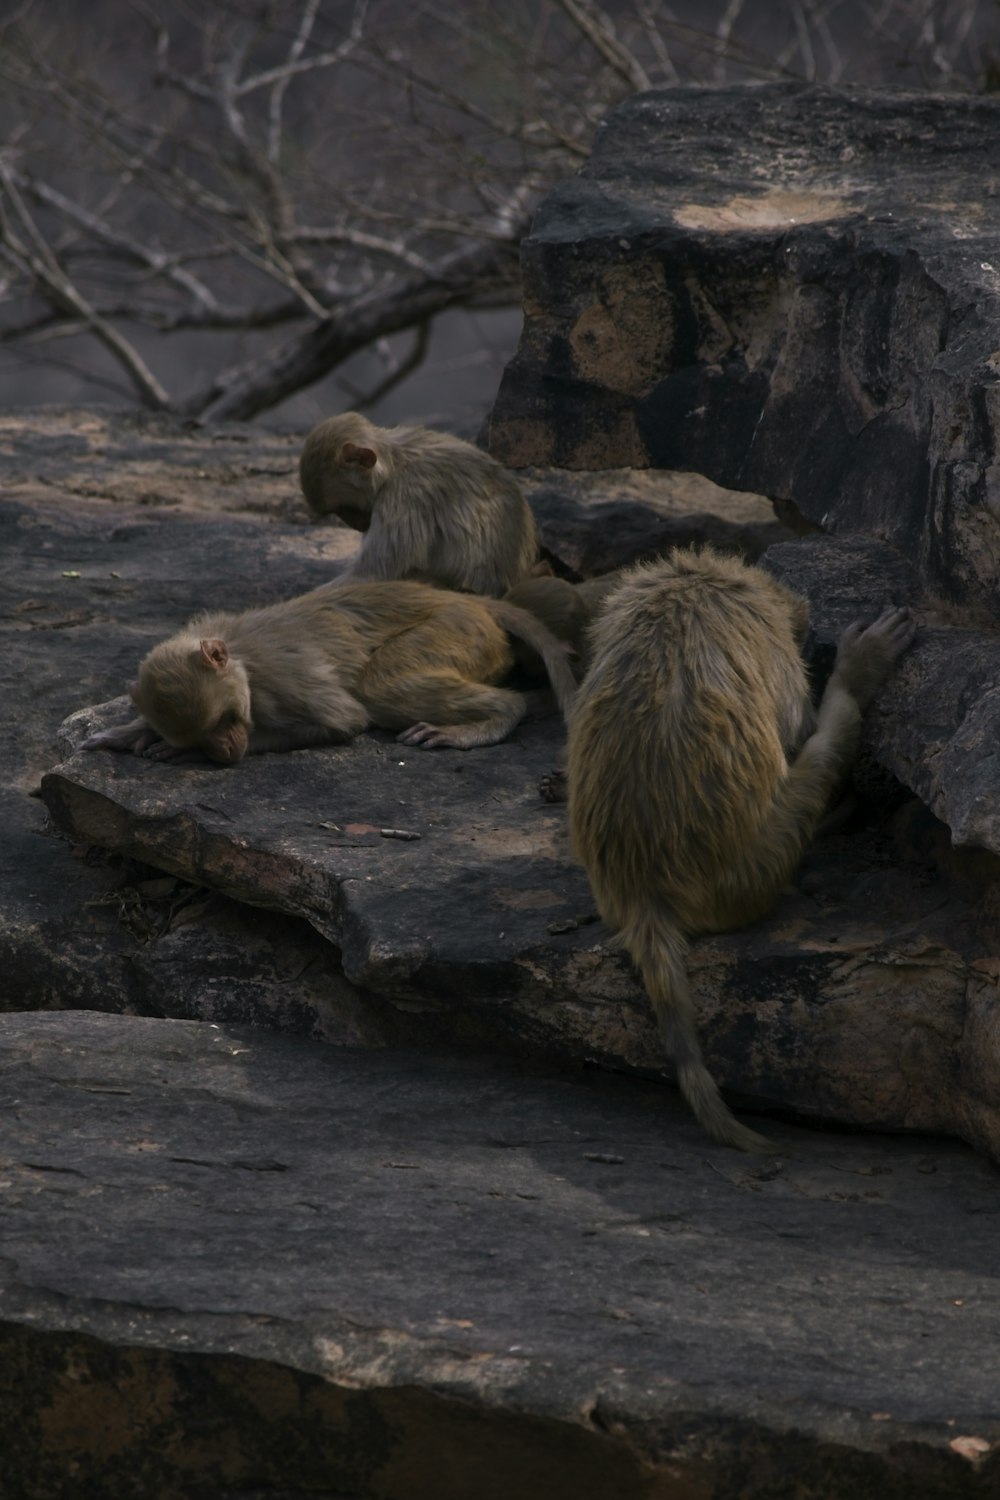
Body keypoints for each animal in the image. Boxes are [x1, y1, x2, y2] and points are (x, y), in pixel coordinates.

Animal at [80, 573, 578, 762]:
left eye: (224, 721)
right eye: (204, 733)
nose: (224, 751)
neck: (242, 663)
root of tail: (467, 600)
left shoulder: (285, 683)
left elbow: (344, 719)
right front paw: (134, 731)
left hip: (456, 631)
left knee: (380, 688)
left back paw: (499, 716)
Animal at [563, 546, 917, 1152]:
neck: (695, 583)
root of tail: (645, 891)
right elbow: (794, 730)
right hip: (755, 869)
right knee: (817, 752)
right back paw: (852, 687)